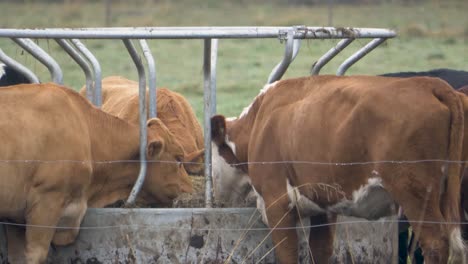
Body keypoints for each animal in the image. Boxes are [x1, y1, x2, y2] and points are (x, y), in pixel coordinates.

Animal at [211, 75, 464, 264]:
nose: (217, 200)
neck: (261, 121)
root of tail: (429, 84)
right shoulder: (324, 206)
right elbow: (320, 250)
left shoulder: (277, 203)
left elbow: (287, 253)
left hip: (415, 194)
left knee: (434, 243)